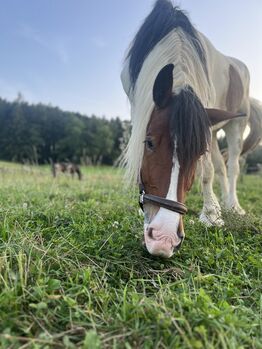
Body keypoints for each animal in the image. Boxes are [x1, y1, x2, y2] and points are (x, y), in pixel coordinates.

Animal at [121, 0, 252, 256]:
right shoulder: (138, 103)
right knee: (222, 167)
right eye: (149, 142)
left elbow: (207, 170)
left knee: (232, 166)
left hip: (236, 123)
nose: (164, 239)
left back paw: (232, 206)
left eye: (198, 152)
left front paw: (210, 215)